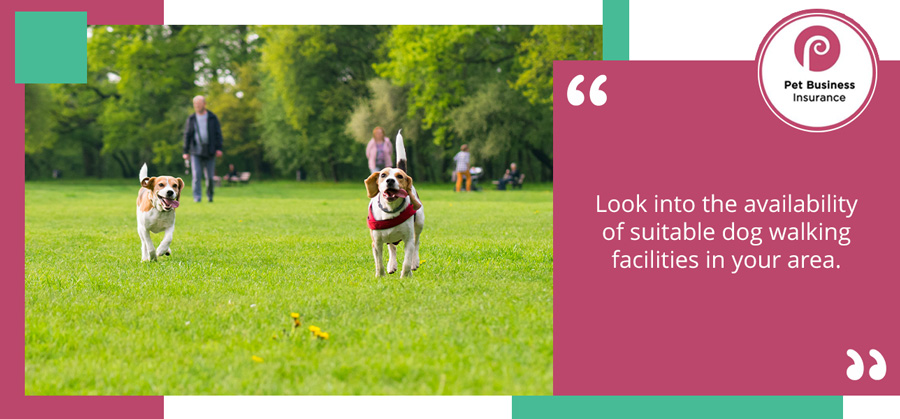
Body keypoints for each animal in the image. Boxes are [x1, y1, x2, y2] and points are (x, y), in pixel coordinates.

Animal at [364, 130, 424, 278]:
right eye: (383, 175)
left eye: (400, 176)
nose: (390, 180)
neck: (390, 210)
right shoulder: (376, 242)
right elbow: (379, 262)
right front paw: (380, 276)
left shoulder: (408, 240)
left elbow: (407, 262)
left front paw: (405, 277)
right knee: (392, 247)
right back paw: (391, 265)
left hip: (419, 223)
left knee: (417, 242)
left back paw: (415, 263)